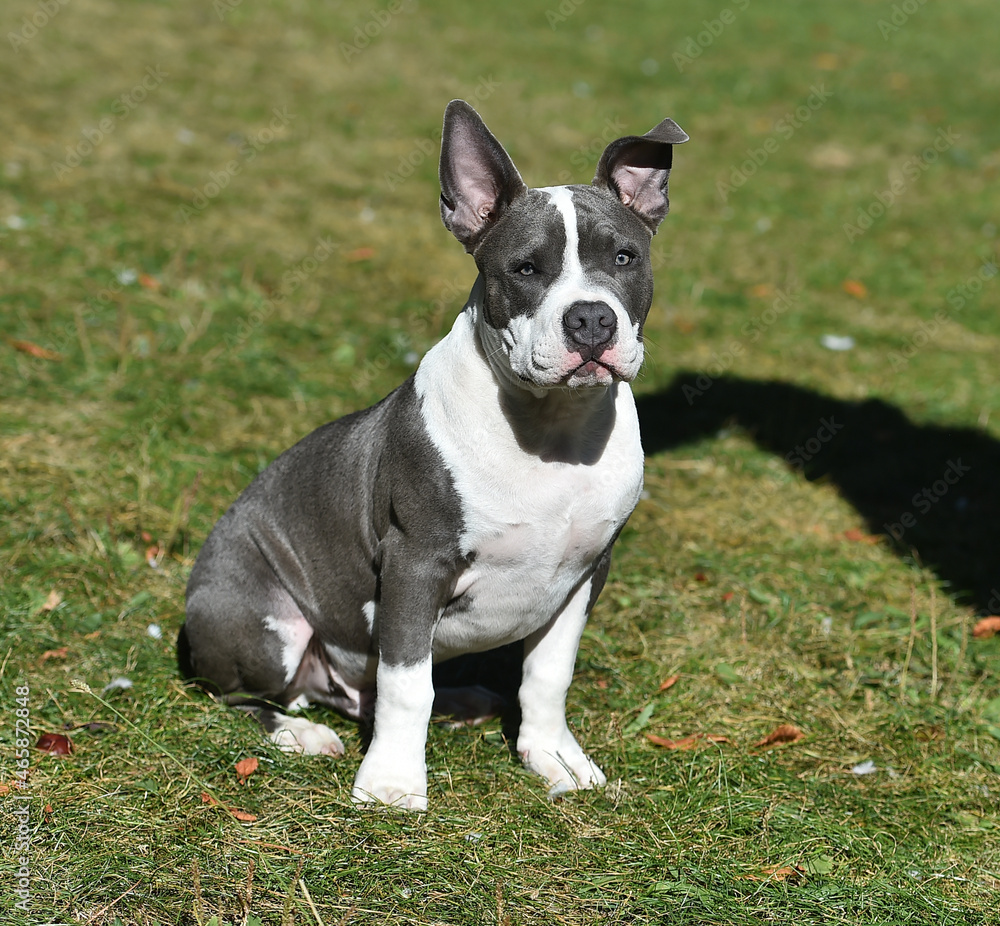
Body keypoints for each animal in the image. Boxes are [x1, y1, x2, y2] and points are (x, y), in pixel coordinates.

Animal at [178, 101, 688, 808]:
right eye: (525, 269)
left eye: (624, 256)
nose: (590, 319)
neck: (549, 431)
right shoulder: (415, 562)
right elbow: (405, 684)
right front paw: (392, 783)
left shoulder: (587, 570)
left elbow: (548, 674)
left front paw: (552, 755)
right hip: (262, 623)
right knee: (239, 696)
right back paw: (299, 733)